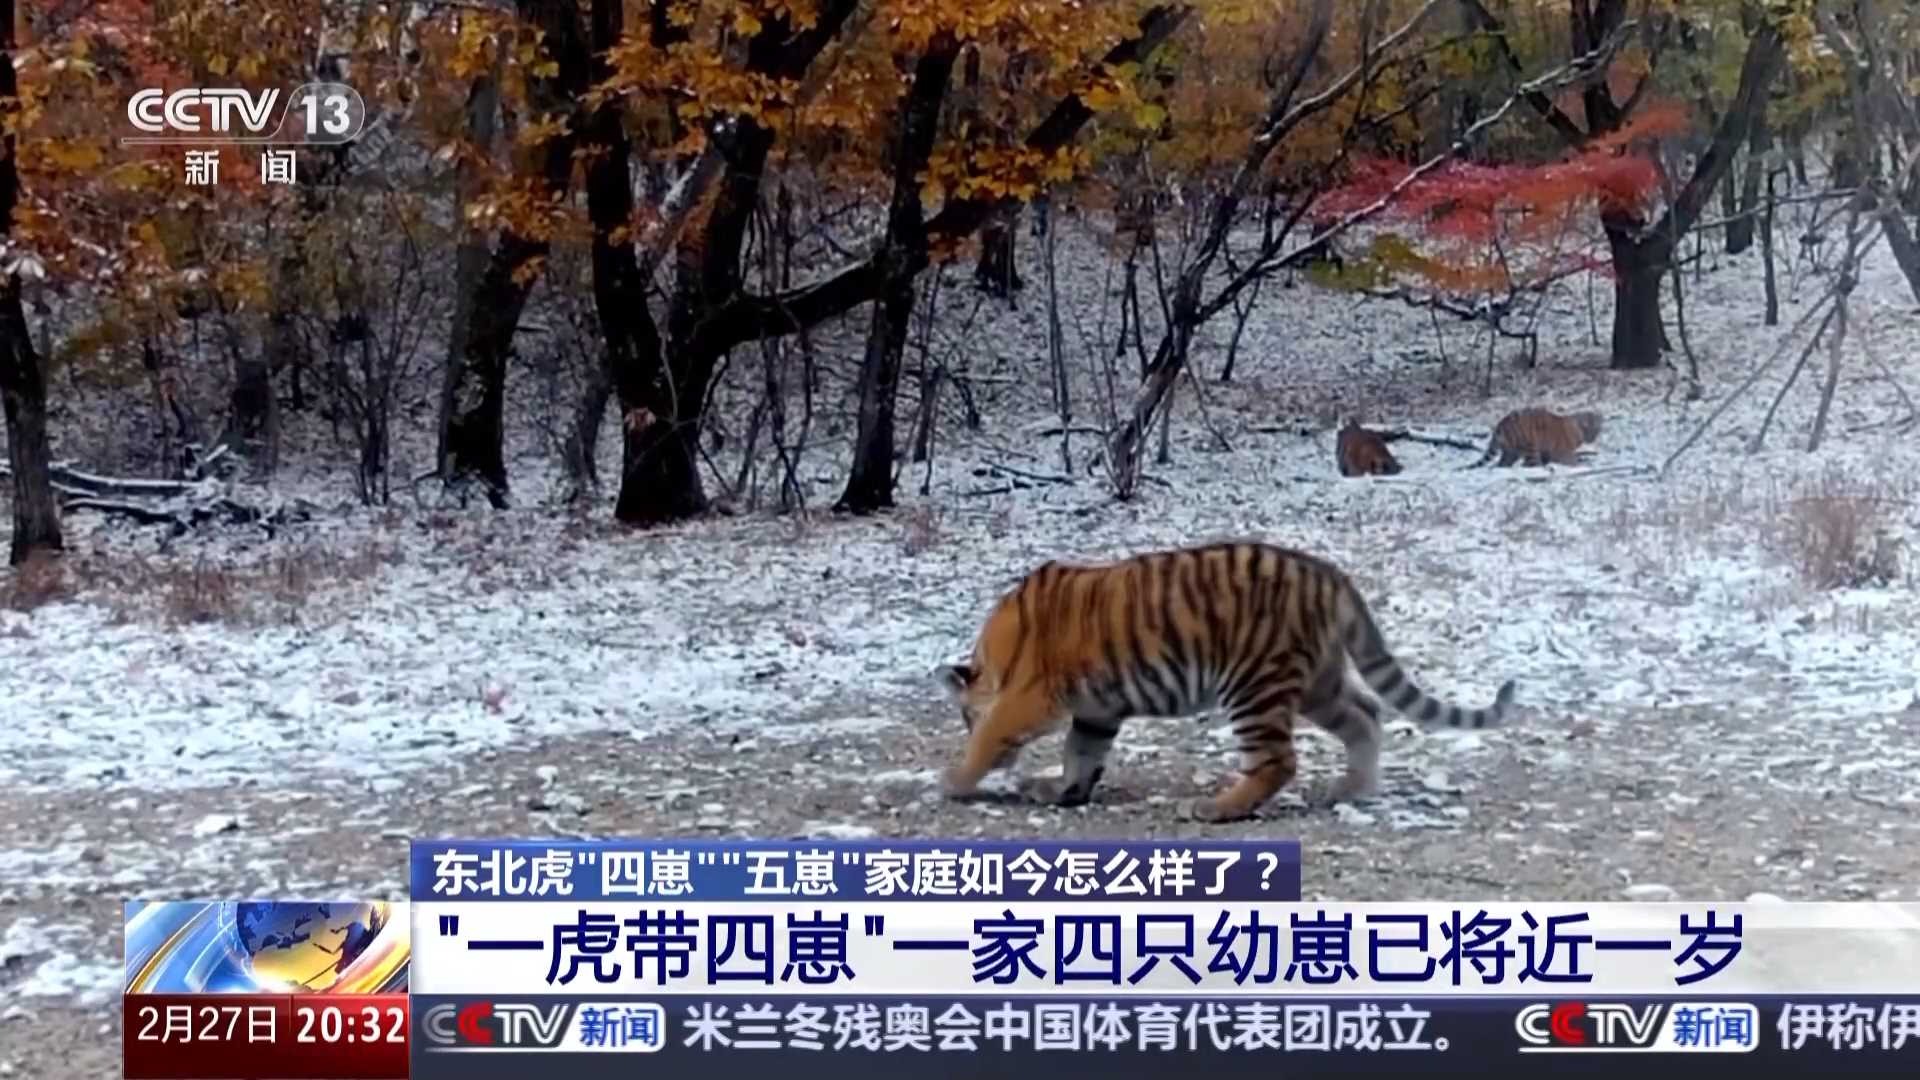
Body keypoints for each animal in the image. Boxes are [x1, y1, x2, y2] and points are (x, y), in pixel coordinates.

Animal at [935, 541, 1517, 822]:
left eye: (964, 716)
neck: (997, 652)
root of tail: (1329, 575)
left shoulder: (1030, 696)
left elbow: (994, 734)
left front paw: (955, 780)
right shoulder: (1096, 709)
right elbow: (1082, 753)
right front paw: (1062, 791)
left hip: (1254, 684)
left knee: (1278, 761)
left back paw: (1218, 809)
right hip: (1317, 683)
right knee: (1366, 716)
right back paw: (1350, 787)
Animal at [1466, 407, 1604, 468]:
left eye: (1597, 430)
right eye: (1587, 429)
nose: (1592, 438)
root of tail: (1501, 423)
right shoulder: (1561, 452)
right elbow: (1571, 460)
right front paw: (1581, 463)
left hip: (1512, 451)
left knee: (1504, 463)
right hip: (1530, 445)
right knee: (1530, 463)